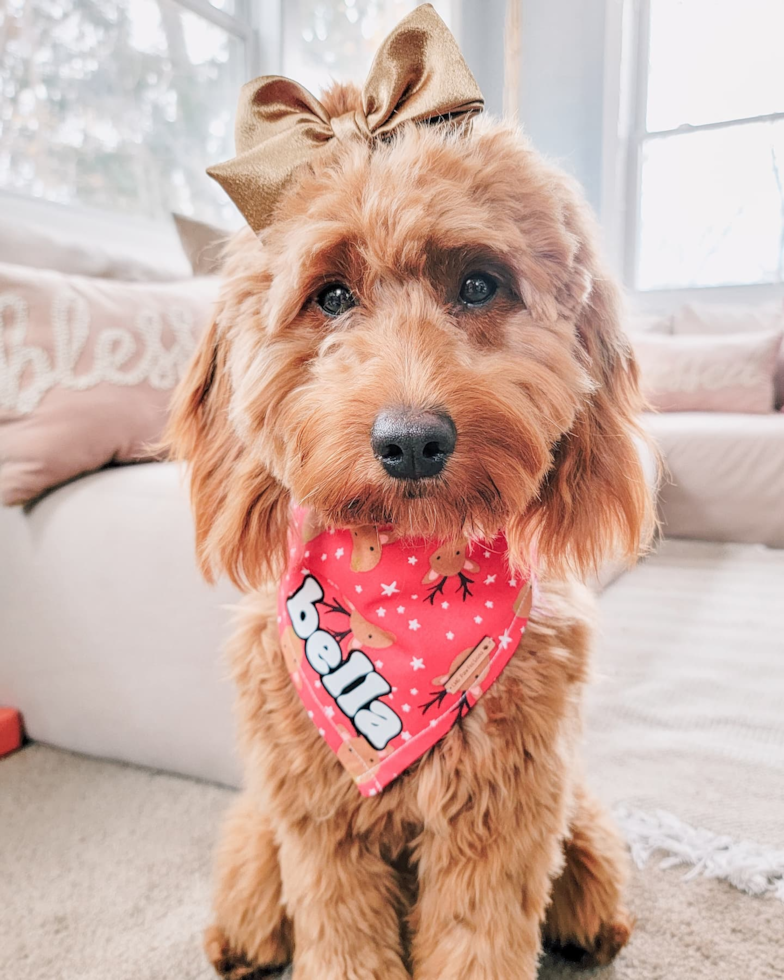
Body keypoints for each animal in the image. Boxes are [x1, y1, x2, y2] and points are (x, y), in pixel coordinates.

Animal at [167, 9, 656, 980]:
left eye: (478, 283)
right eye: (330, 296)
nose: (412, 441)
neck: (403, 584)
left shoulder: (503, 819)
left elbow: (477, 936)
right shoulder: (321, 821)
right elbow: (340, 930)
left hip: (575, 817)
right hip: (262, 825)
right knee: (253, 883)